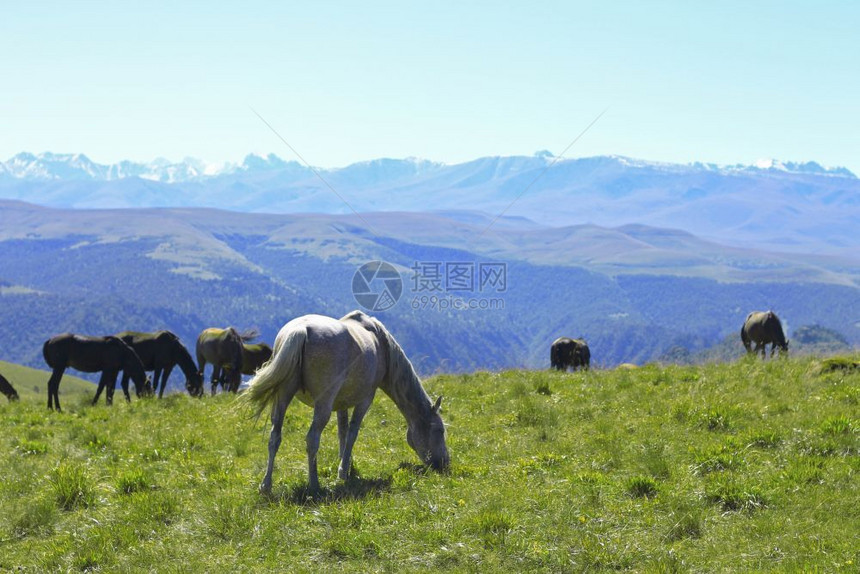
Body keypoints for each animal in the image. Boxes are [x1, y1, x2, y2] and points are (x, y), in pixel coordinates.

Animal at [244, 310, 450, 496]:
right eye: (439, 430)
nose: (445, 465)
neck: (381, 344)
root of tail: (301, 330)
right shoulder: (365, 400)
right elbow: (352, 433)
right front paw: (343, 472)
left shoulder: (341, 405)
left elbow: (342, 434)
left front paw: (345, 465)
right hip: (323, 404)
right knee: (312, 439)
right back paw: (314, 484)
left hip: (283, 397)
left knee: (274, 437)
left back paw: (266, 486)